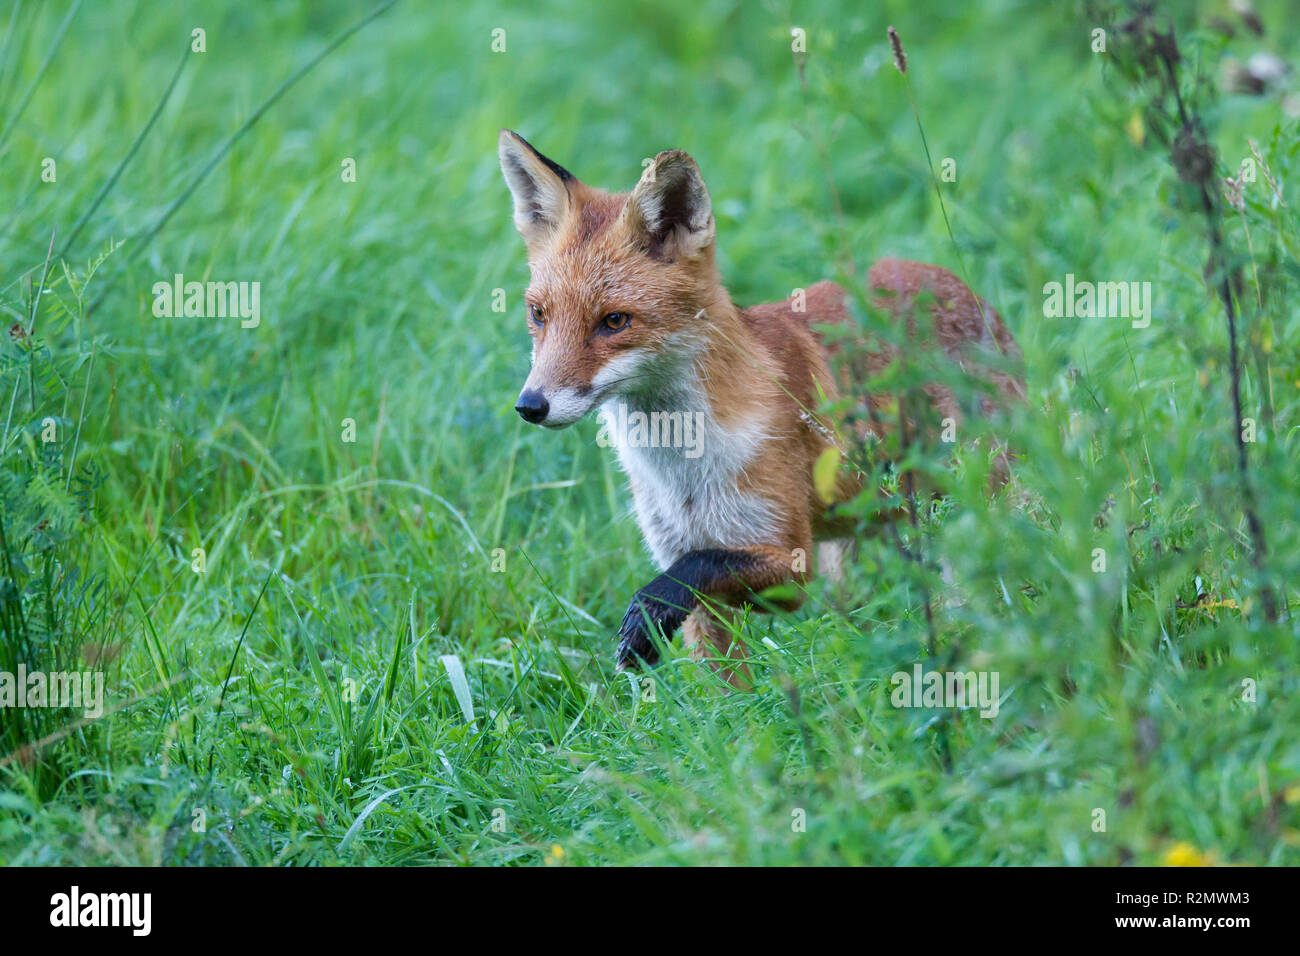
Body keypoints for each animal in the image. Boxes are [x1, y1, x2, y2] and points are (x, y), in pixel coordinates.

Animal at [499, 128, 1024, 681]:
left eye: (614, 321)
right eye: (538, 314)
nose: (530, 405)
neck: (681, 465)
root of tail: (965, 289)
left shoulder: (788, 563)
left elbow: (697, 568)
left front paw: (644, 617)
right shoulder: (684, 560)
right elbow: (724, 688)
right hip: (856, 546)